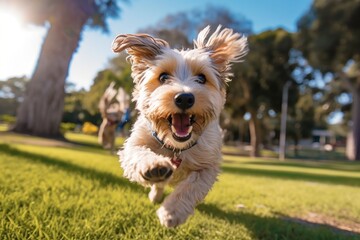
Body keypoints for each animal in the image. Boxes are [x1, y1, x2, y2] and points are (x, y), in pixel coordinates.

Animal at [112, 25, 248, 227]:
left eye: (202, 78)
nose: (184, 98)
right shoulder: (135, 144)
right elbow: (138, 153)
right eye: (163, 77)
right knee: (159, 184)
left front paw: (171, 212)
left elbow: (190, 188)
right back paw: (155, 193)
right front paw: (153, 165)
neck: (176, 147)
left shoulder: (207, 166)